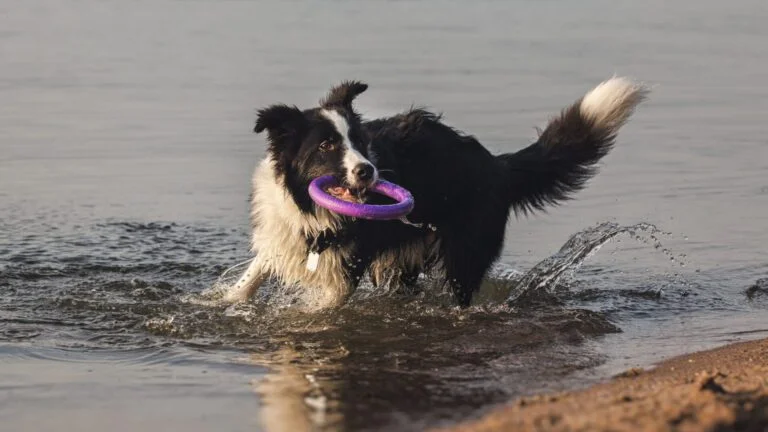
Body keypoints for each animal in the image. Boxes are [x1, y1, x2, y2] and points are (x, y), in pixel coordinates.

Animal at [224, 76, 648, 308]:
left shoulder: (344, 271)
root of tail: (496, 165)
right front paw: (227, 300)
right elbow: (255, 273)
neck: (309, 206)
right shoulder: (283, 234)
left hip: (464, 252)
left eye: (360, 142)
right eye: (327, 146)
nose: (368, 171)